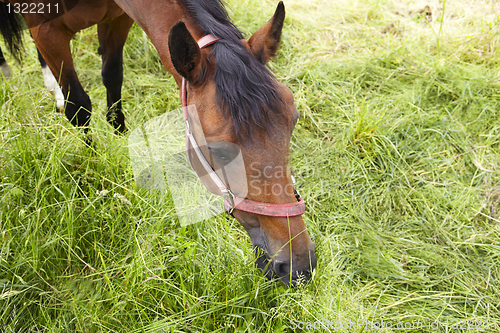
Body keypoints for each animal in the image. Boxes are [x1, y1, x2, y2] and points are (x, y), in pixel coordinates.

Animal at [0, 0, 316, 286]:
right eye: (220, 152)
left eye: (293, 123)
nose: (298, 265)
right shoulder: (48, 32)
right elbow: (79, 106)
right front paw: (91, 166)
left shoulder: (117, 20)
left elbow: (112, 79)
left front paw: (121, 150)